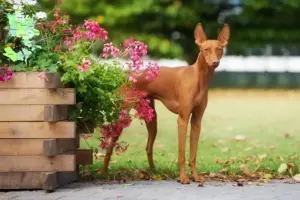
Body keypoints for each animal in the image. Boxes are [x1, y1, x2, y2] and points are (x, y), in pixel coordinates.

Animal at [102, 23, 231, 184]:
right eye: (206, 49)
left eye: (219, 49)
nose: (215, 62)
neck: (199, 78)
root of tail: (129, 77)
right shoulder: (182, 120)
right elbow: (181, 153)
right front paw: (183, 177)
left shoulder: (196, 121)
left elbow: (193, 154)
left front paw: (195, 176)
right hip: (123, 117)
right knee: (110, 146)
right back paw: (103, 172)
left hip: (152, 120)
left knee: (148, 147)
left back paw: (153, 171)